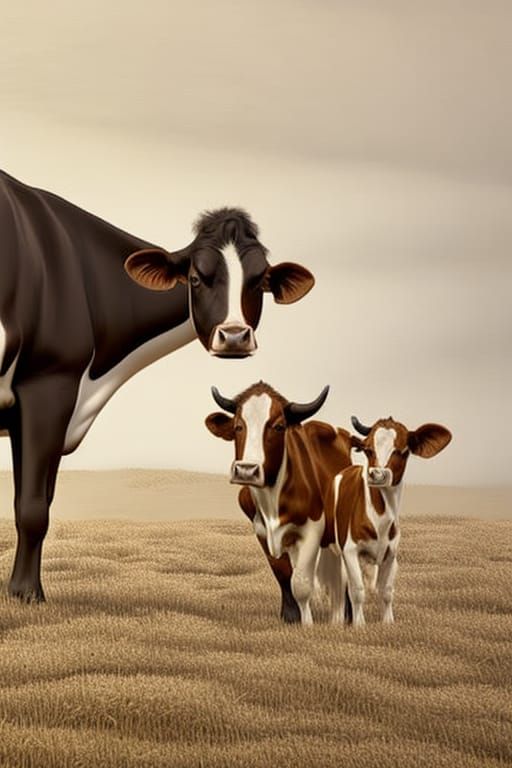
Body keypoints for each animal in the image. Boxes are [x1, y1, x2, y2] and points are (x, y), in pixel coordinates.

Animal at [0, 169, 315, 602]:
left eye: (259, 280)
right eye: (196, 278)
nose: (234, 337)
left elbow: (40, 498)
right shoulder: (50, 382)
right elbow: (32, 508)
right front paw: (27, 594)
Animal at [205, 381, 354, 625]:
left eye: (279, 426)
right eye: (238, 426)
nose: (247, 470)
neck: (271, 498)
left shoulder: (312, 530)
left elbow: (301, 581)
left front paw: (307, 623)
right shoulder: (261, 530)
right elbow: (283, 573)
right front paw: (291, 616)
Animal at [333, 415, 452, 626]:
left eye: (402, 451)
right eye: (368, 450)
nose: (377, 474)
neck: (380, 518)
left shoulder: (391, 555)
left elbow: (387, 591)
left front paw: (388, 623)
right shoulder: (350, 550)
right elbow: (357, 590)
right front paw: (359, 624)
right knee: (341, 585)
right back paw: (338, 619)